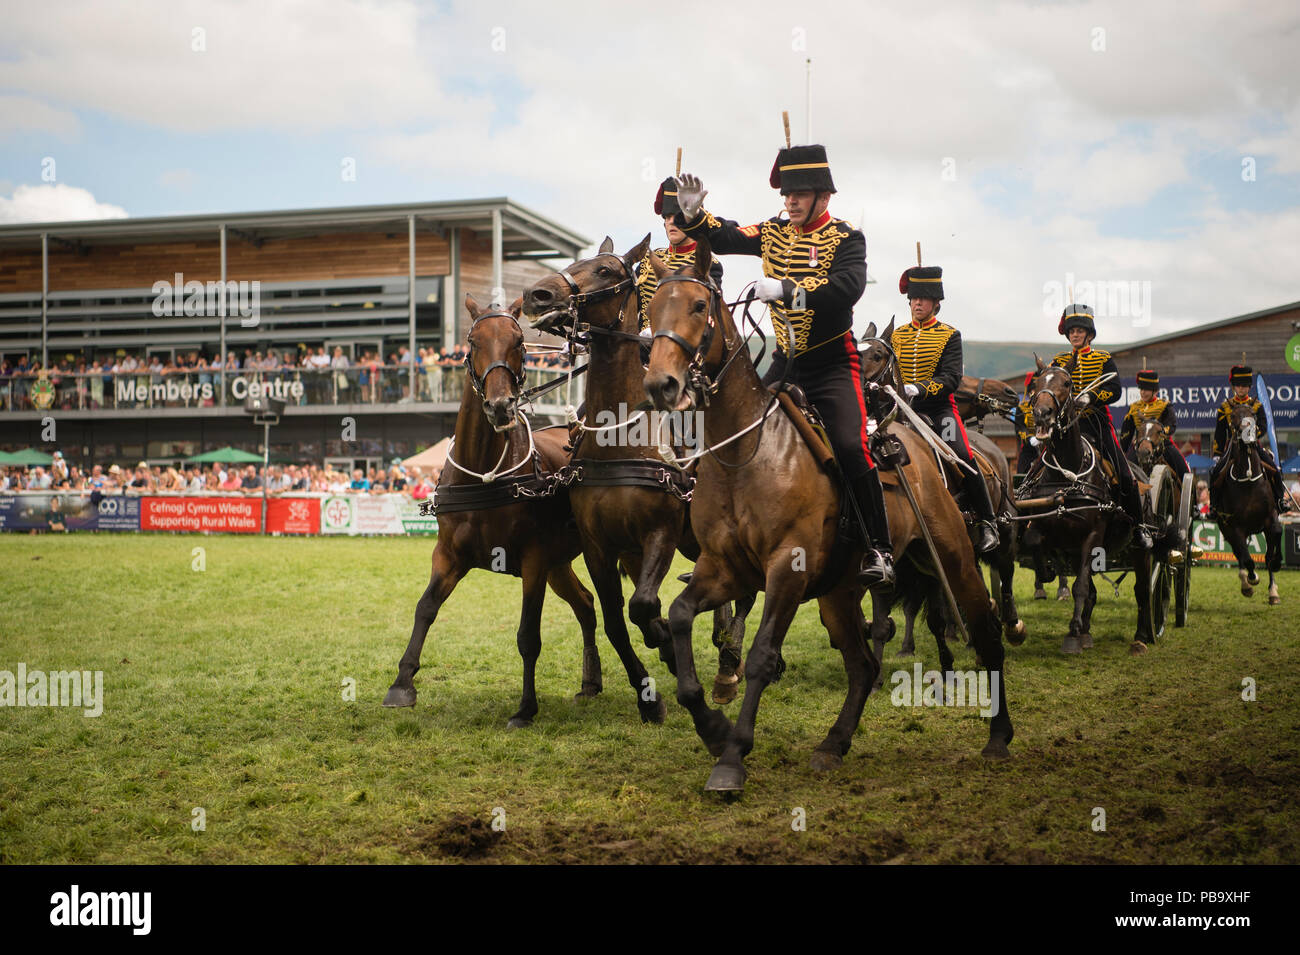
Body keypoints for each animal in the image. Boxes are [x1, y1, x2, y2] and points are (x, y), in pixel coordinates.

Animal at [379, 297, 618, 722]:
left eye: (520, 341)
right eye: (473, 341)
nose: (501, 405)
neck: (483, 475)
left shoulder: (534, 560)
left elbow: (528, 635)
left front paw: (525, 707)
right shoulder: (449, 555)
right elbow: (425, 608)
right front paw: (402, 683)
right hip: (560, 564)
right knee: (586, 605)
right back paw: (590, 681)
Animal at [517, 237, 754, 717]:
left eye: (606, 271)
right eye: (577, 261)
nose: (538, 295)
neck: (622, 438)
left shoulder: (660, 532)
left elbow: (643, 605)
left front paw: (664, 642)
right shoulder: (600, 547)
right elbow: (615, 620)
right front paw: (649, 694)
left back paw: (729, 664)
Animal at [644, 242, 1008, 795]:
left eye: (699, 306)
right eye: (650, 310)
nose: (661, 385)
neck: (745, 454)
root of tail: (921, 449)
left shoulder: (786, 571)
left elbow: (761, 656)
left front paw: (732, 755)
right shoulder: (724, 569)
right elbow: (682, 616)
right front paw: (713, 728)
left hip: (954, 560)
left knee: (985, 628)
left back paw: (999, 735)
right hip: (838, 594)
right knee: (862, 665)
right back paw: (833, 744)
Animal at [1013, 356, 1159, 654]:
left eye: (1068, 383)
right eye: (1038, 382)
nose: (1042, 413)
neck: (1067, 474)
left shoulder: (1092, 536)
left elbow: (1080, 586)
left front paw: (1073, 633)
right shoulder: (1049, 530)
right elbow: (1037, 545)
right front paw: (1047, 575)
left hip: (1140, 550)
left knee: (1141, 590)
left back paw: (1140, 637)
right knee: (1092, 589)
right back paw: (1087, 630)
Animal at [1206, 405, 1279, 600]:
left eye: (1253, 414)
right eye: (1233, 417)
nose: (1247, 433)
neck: (1248, 479)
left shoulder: (1270, 518)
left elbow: (1271, 550)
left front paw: (1273, 586)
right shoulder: (1236, 526)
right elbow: (1247, 559)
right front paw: (1252, 579)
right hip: (1228, 529)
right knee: (1239, 554)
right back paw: (1246, 582)